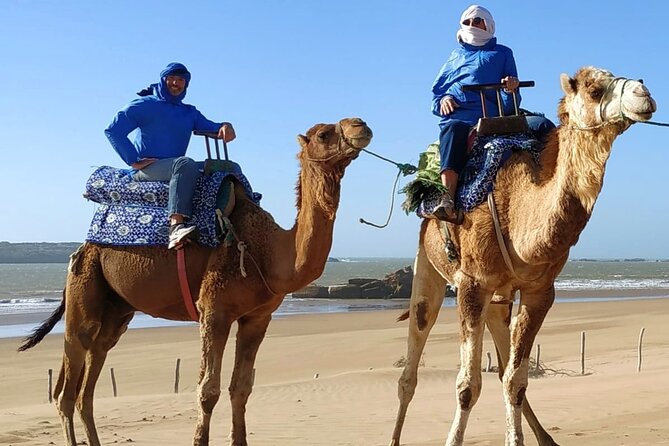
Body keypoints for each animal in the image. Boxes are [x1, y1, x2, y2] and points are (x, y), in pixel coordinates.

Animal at [18, 117, 373, 446]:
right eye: (324, 134)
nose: (361, 126)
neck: (268, 251)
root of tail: (82, 248)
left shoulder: (258, 318)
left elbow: (241, 388)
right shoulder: (214, 311)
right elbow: (208, 390)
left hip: (116, 312)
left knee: (87, 383)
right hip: (84, 288)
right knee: (67, 386)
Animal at [389, 66, 656, 446]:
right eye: (594, 89)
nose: (643, 94)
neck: (519, 211)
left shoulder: (539, 291)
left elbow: (515, 380)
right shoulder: (472, 285)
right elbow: (467, 386)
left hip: (499, 298)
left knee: (503, 366)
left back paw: (545, 438)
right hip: (428, 266)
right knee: (411, 363)